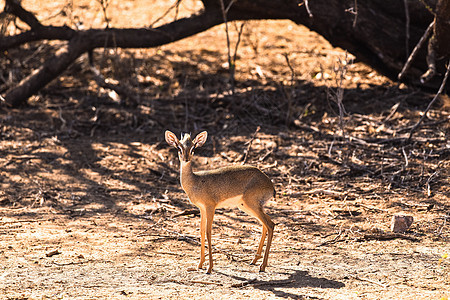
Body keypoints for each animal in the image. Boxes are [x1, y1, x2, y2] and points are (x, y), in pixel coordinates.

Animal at [165, 130, 274, 274]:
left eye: (193, 148)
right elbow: (201, 231)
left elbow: (208, 232)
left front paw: (209, 268)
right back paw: (254, 261)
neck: (195, 182)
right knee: (266, 224)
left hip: (252, 205)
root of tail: (270, 185)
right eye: (179, 147)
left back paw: (262, 266)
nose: (186, 159)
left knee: (270, 225)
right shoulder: (201, 208)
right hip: (247, 207)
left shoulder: (210, 207)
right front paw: (200, 264)